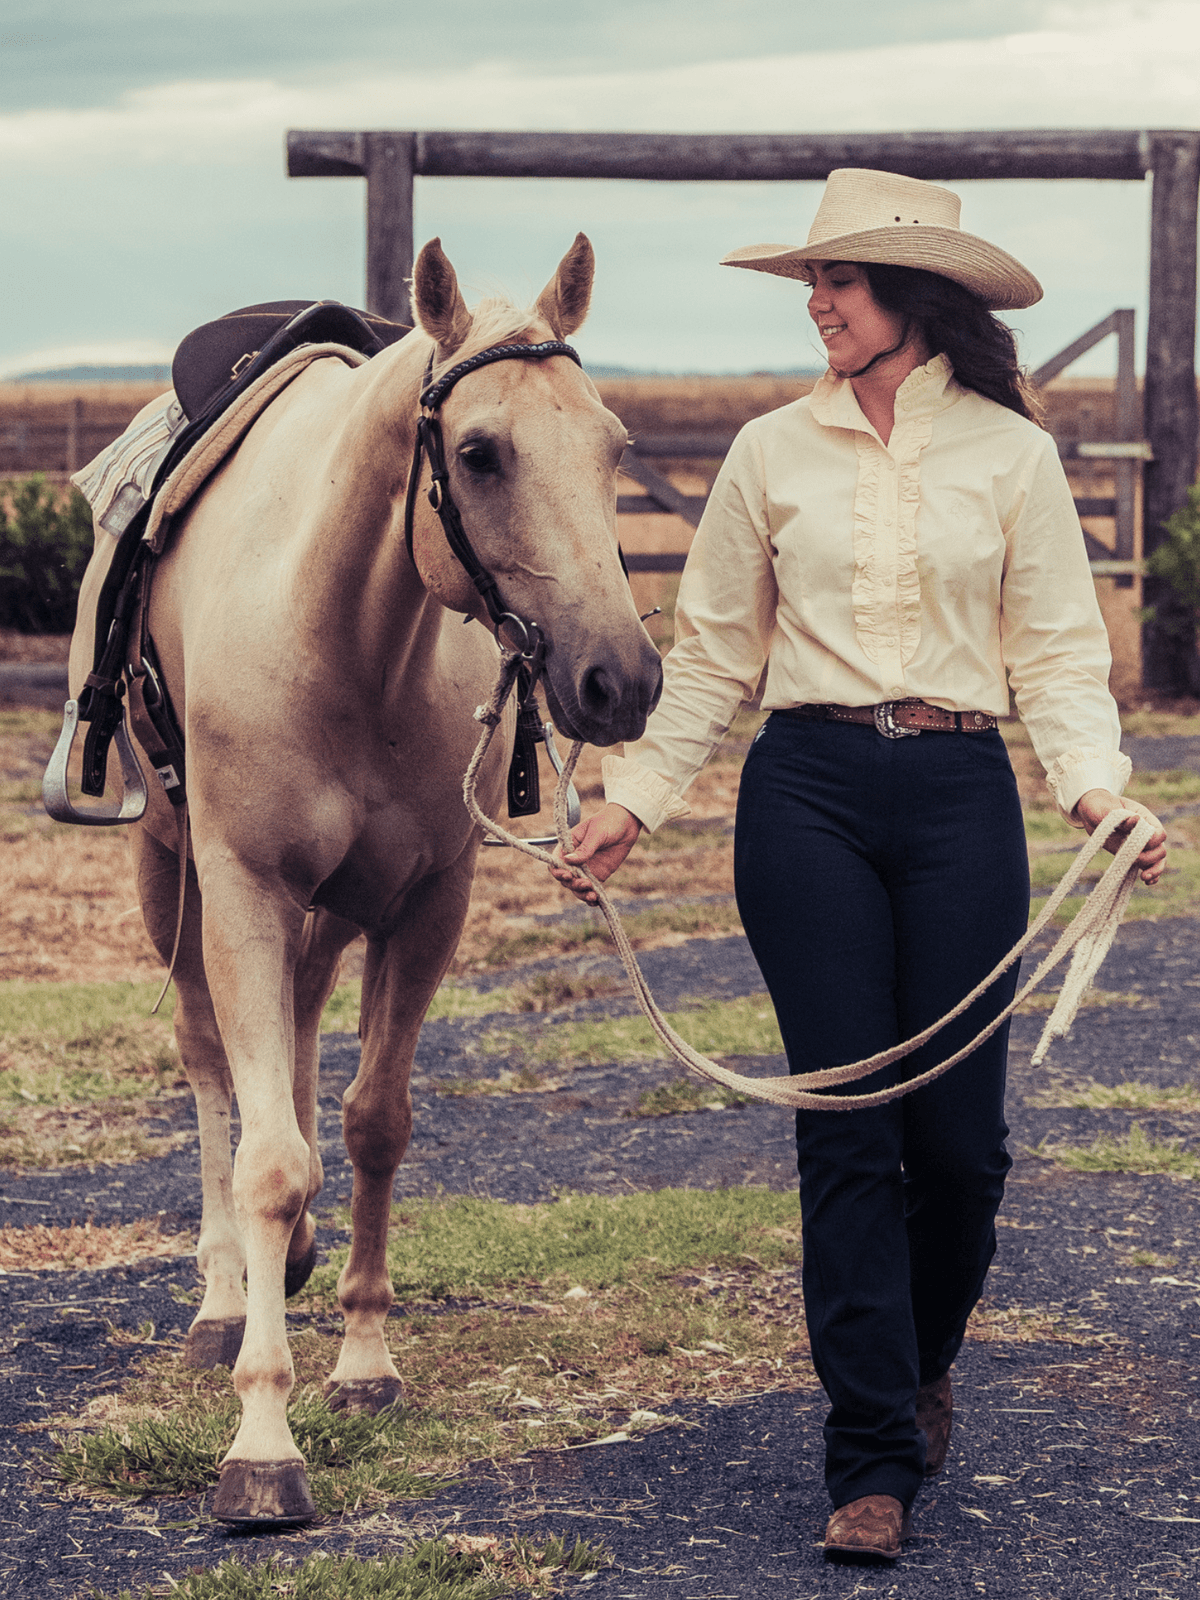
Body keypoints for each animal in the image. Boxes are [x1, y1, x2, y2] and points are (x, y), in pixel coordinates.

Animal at [67, 235, 663, 1524]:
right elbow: (267, 1154)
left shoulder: (427, 902)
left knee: (292, 1043)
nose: (621, 679)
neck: (343, 635)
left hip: (332, 909)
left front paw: (364, 1362)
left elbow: (371, 1124)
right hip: (172, 874)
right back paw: (223, 1296)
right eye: (480, 452)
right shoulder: (243, 887)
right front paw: (260, 1438)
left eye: (614, 446)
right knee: (213, 1066)